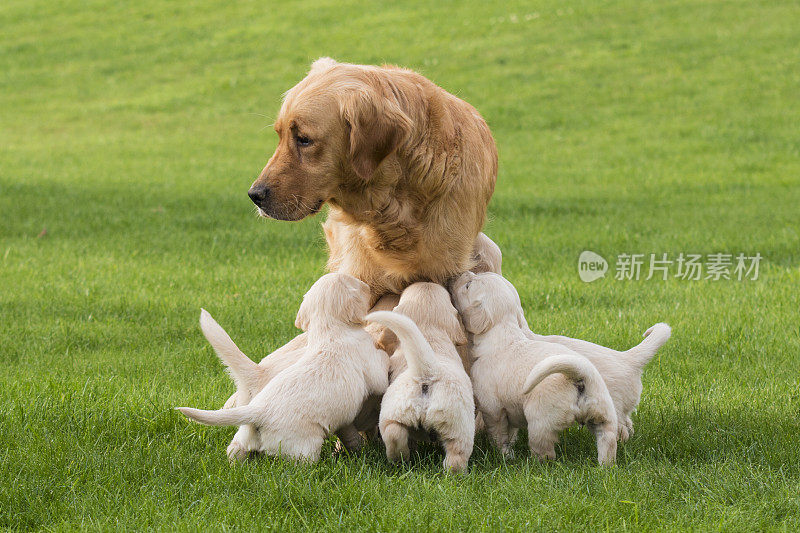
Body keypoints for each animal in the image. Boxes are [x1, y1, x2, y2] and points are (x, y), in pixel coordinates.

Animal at [177, 274, 390, 462]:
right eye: (357, 285)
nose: (368, 285)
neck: (329, 330)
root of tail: (259, 411)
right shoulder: (371, 368)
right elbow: (381, 370)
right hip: (304, 446)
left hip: (246, 434)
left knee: (235, 448)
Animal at [368, 282, 476, 470]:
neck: (428, 334)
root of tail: (428, 371)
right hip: (459, 426)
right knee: (455, 458)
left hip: (393, 413)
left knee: (394, 434)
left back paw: (401, 461)